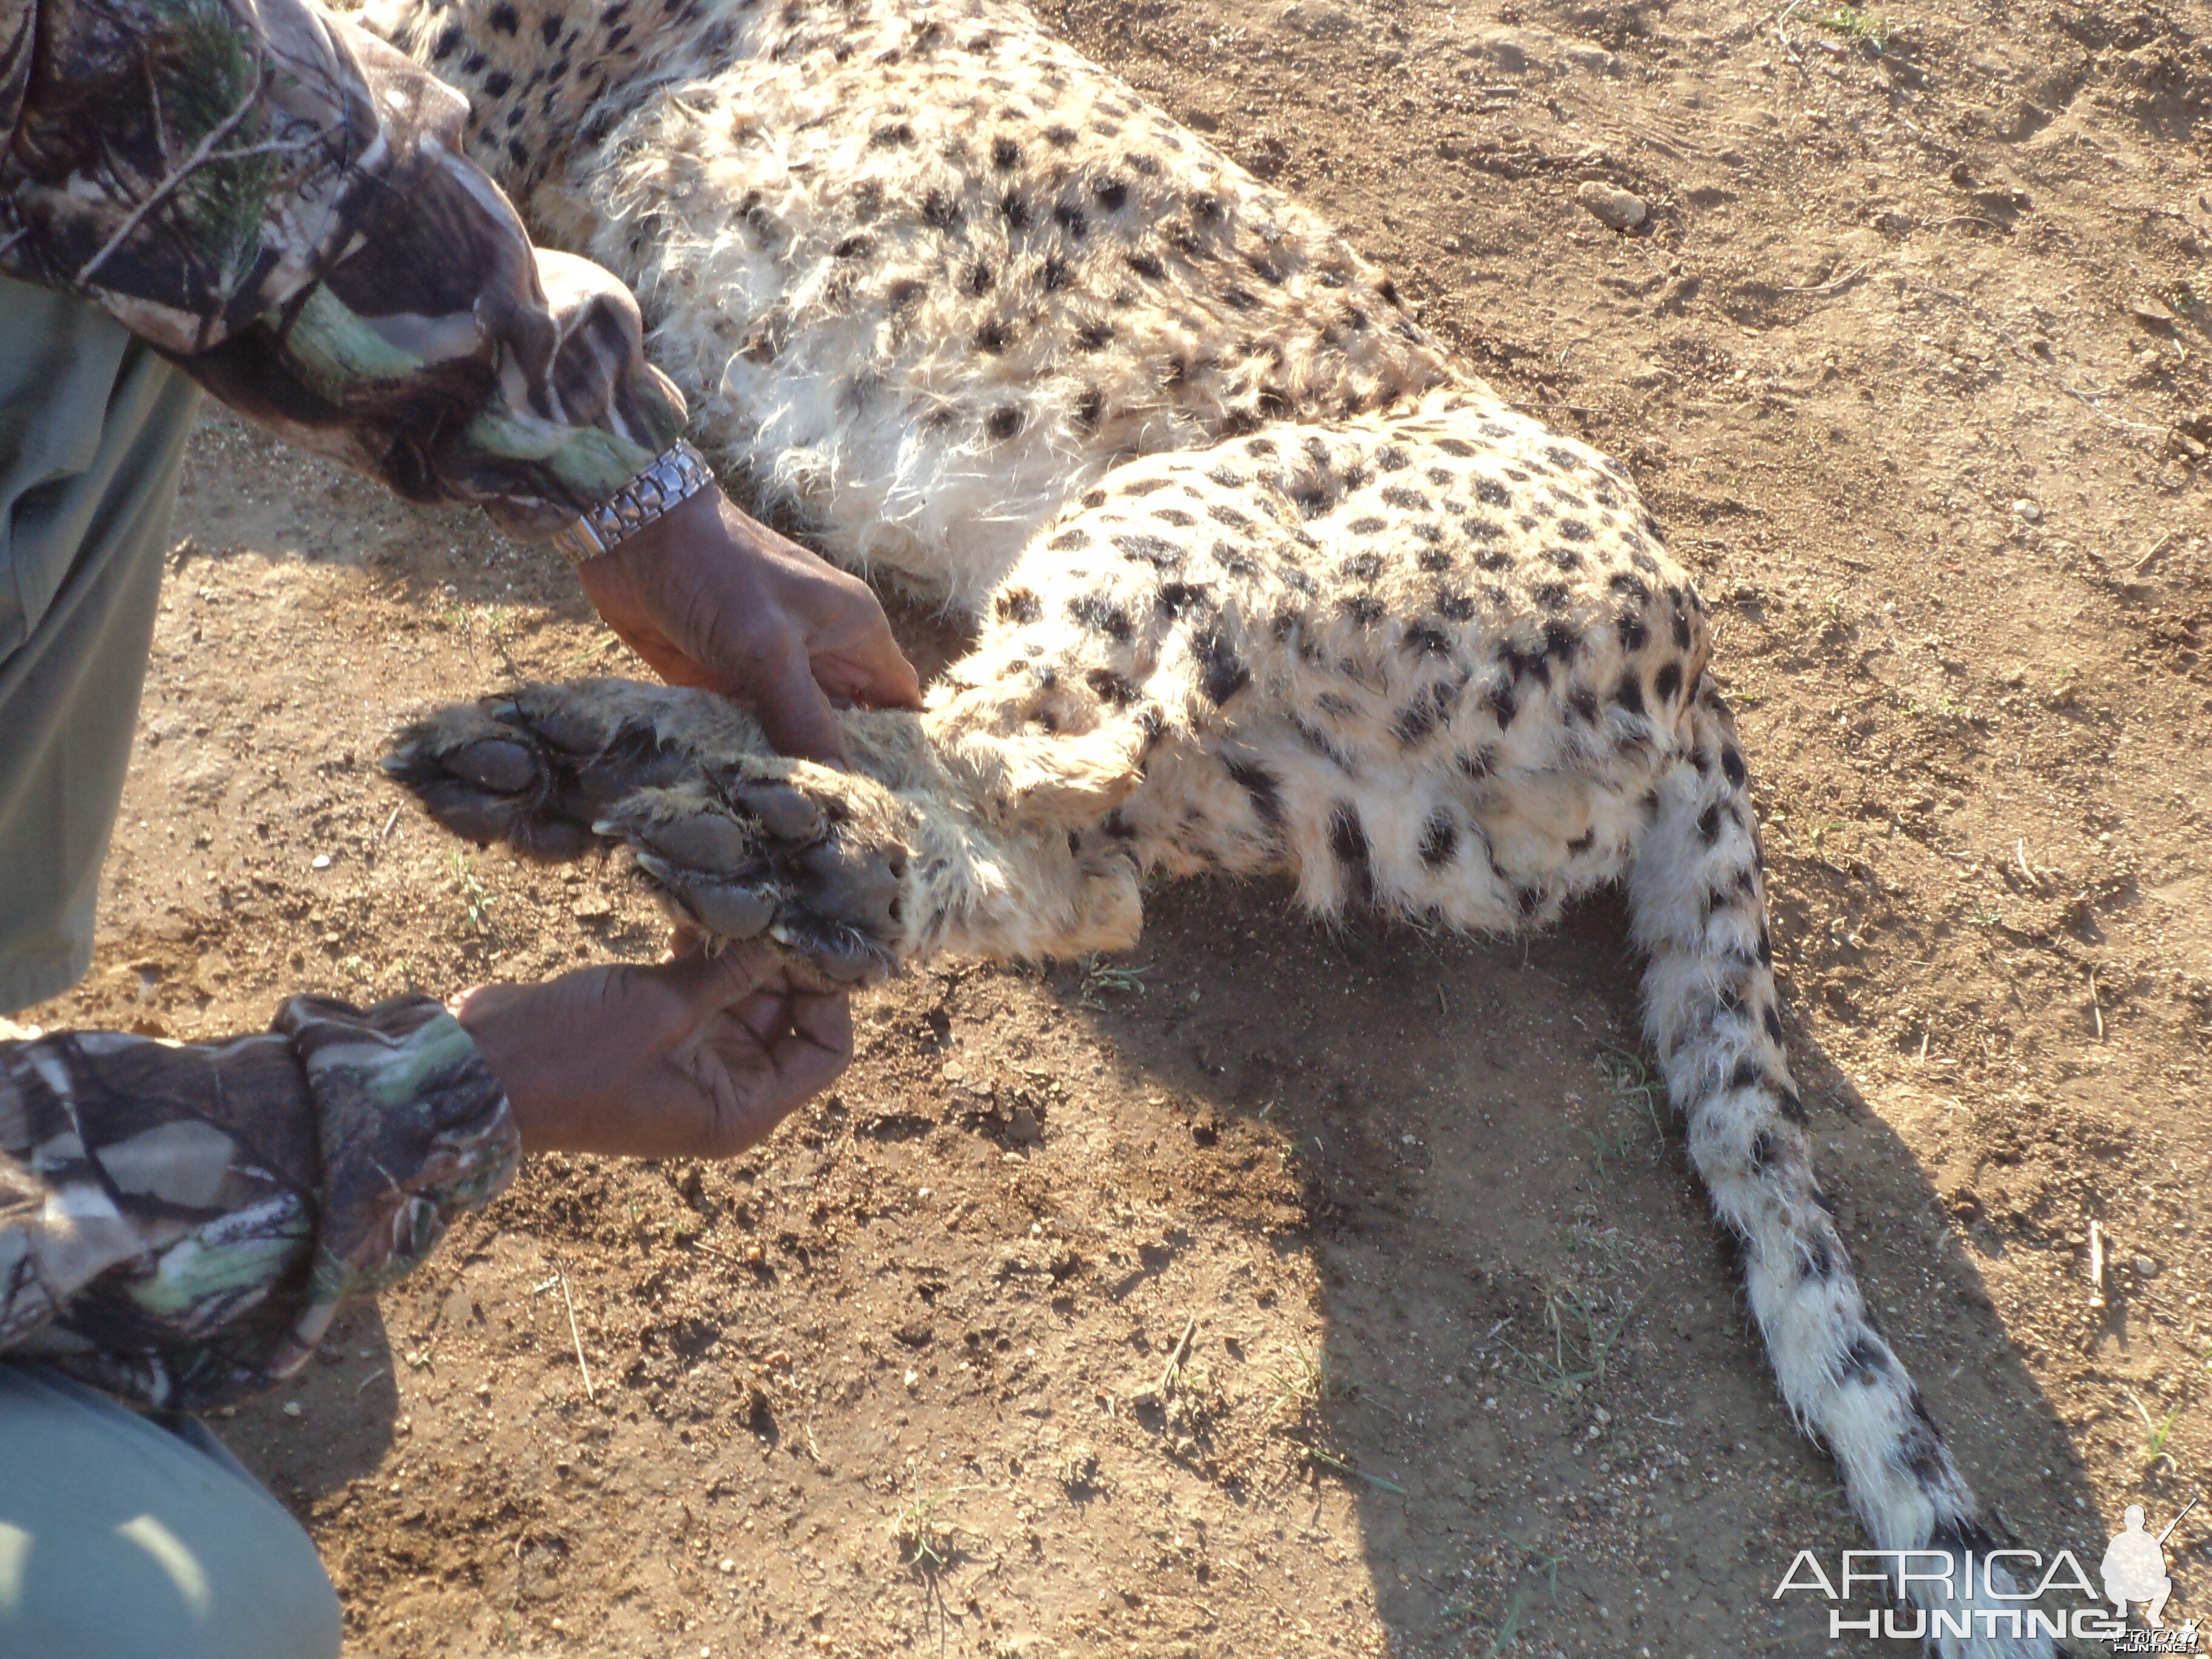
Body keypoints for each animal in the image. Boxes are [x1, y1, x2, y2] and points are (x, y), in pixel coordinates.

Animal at [367, 0, 2053, 1646]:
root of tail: (1696, 658)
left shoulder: (449, 109)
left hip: (1189, 524)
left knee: (1007, 783)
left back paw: (740, 817)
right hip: (1304, 781)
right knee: (1073, 852)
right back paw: (618, 775)